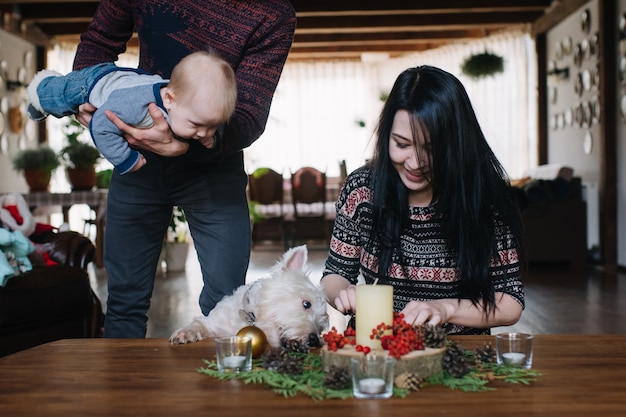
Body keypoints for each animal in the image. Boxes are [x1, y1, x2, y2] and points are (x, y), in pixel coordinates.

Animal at [168, 244, 330, 348]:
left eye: (321, 327)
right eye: (306, 304)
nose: (314, 340)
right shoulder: (213, 325)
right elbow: (198, 324)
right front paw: (183, 334)